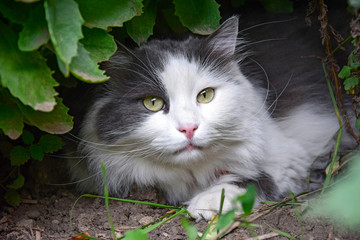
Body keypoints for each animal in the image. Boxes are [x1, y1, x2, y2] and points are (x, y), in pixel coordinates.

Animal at [69, 15, 354, 221]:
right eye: (153, 103)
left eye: (205, 96)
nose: (189, 128)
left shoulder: (290, 156)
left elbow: (249, 178)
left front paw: (208, 203)